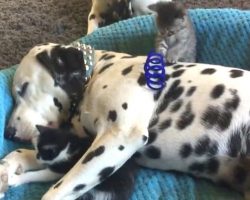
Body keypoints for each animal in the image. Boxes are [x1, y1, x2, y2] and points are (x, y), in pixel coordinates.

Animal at [1, 41, 250, 199]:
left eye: (23, 88)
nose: (8, 133)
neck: (96, 74)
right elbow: (25, 154)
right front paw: (8, 168)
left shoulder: (117, 138)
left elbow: (56, 190)